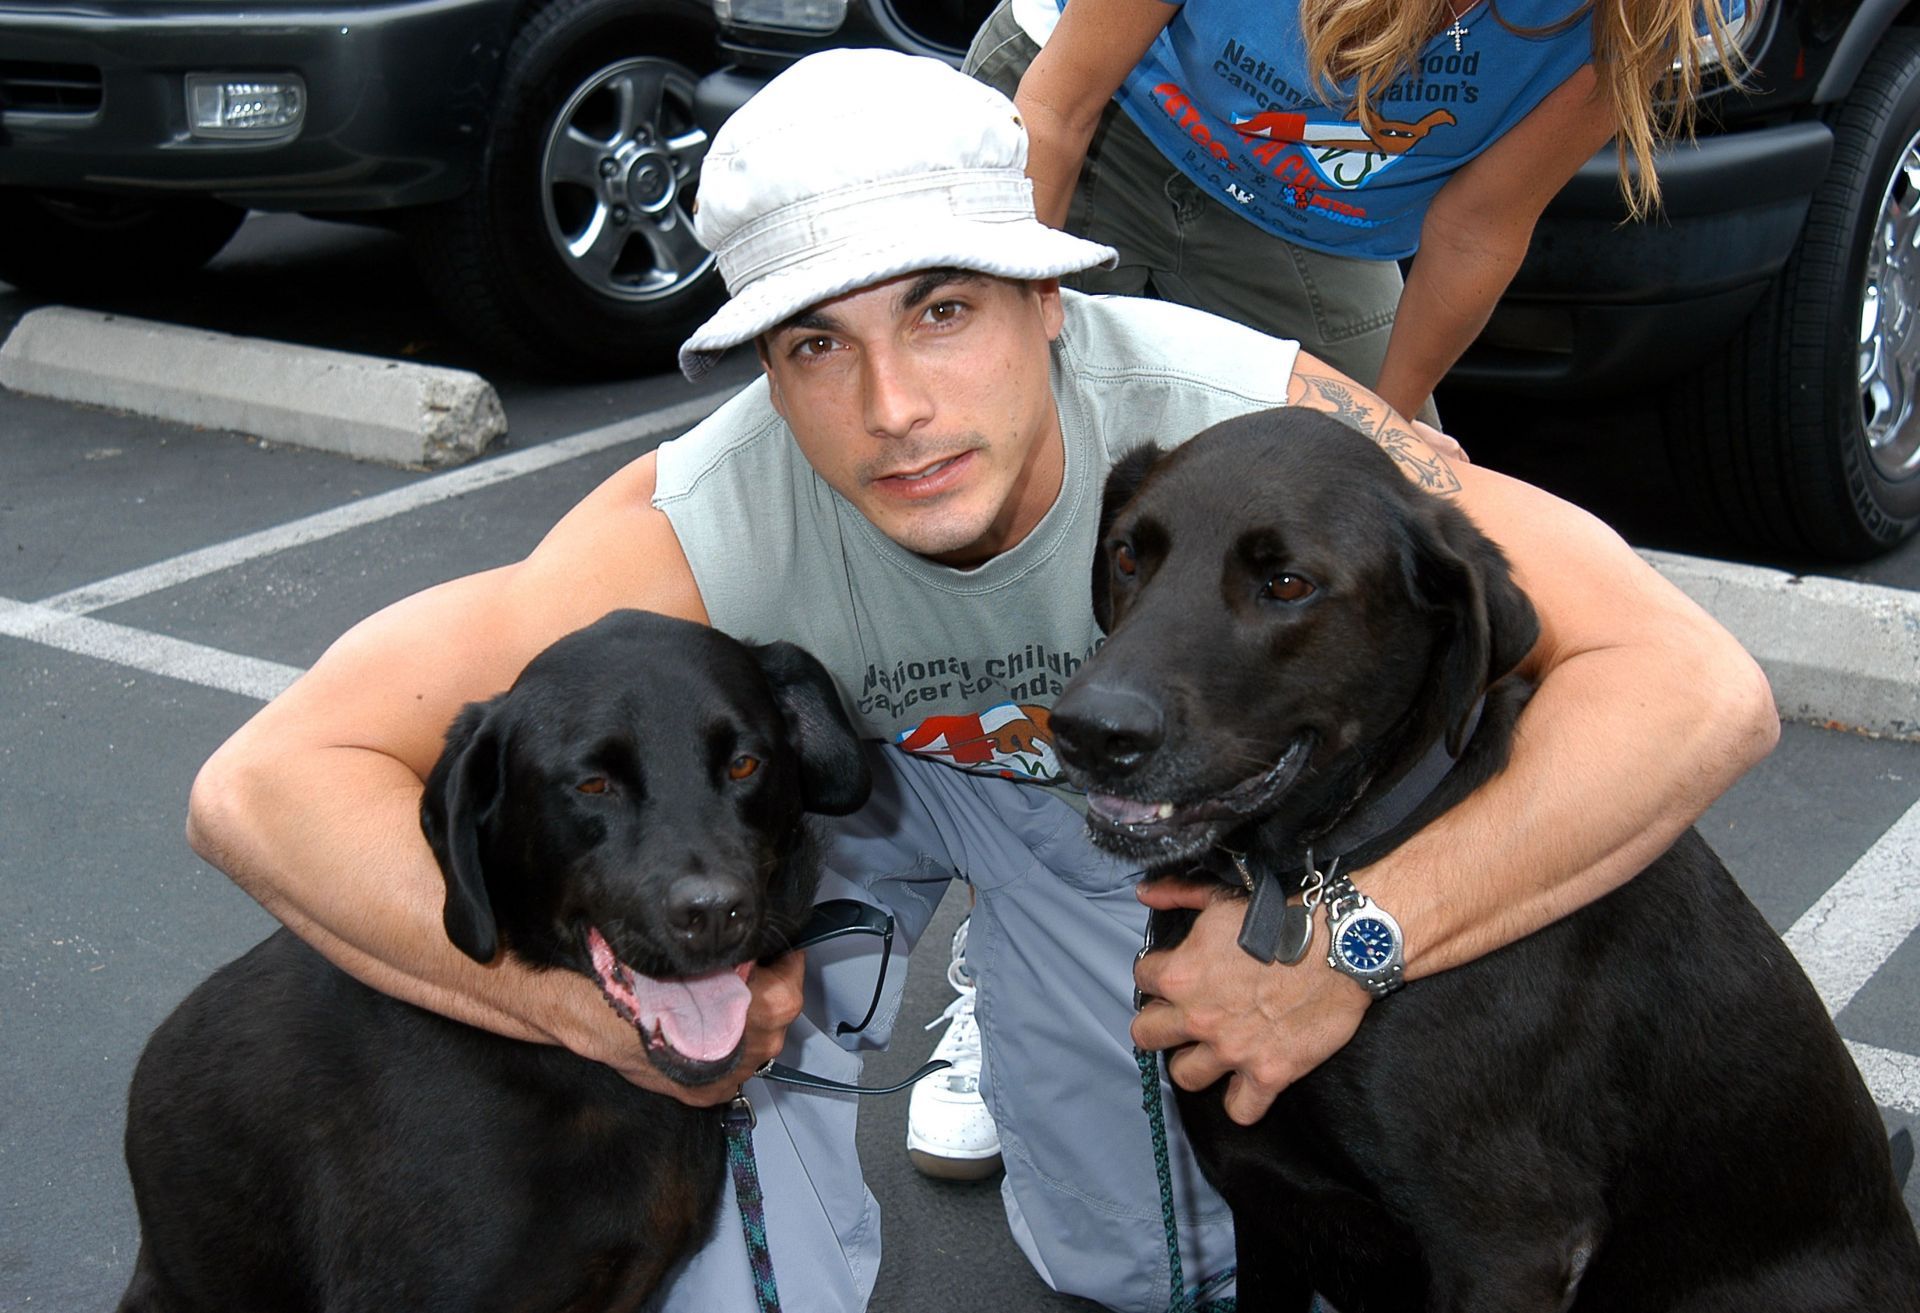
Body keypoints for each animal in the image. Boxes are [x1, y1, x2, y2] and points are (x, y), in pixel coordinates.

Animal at [1052, 414, 1920, 1313]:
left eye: (1287, 583)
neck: (1305, 875)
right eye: (1127, 553)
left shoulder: (1508, 1244)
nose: (1087, 731)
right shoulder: (1265, 1207)